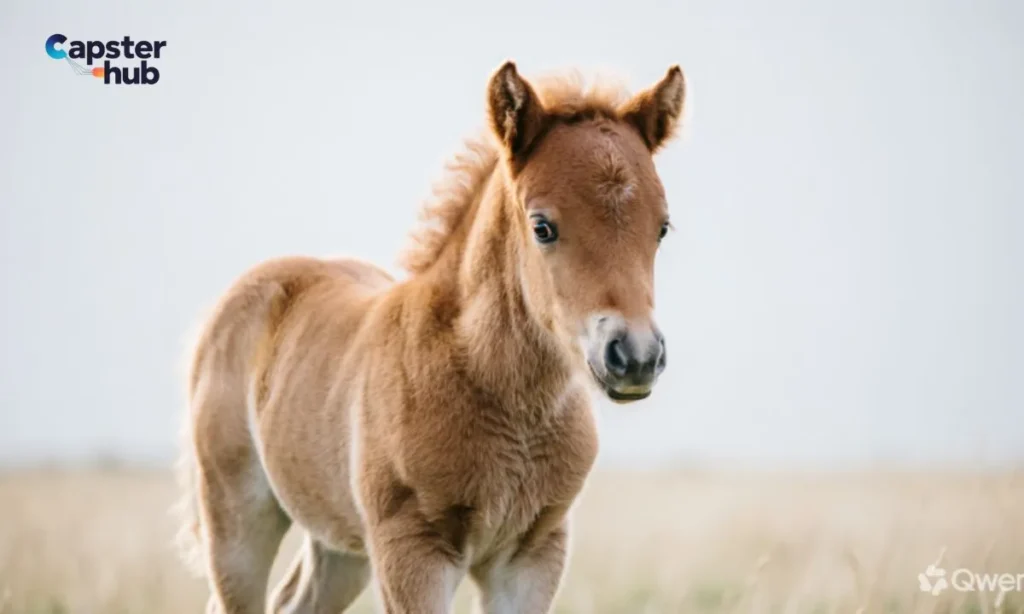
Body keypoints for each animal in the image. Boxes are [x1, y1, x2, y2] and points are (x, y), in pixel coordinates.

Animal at [176, 60, 685, 614]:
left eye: (662, 227)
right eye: (542, 227)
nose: (636, 356)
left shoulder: (533, 556)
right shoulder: (412, 551)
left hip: (342, 544)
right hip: (238, 522)